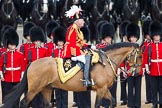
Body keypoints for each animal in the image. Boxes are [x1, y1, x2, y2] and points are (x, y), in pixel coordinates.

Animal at [0, 42, 142, 108]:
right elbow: (97, 105)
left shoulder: (104, 89)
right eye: (140, 56)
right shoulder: (101, 89)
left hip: (46, 88)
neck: (106, 62)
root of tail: (32, 64)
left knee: (46, 104)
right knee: (24, 102)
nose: (136, 71)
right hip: (34, 89)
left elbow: (112, 102)